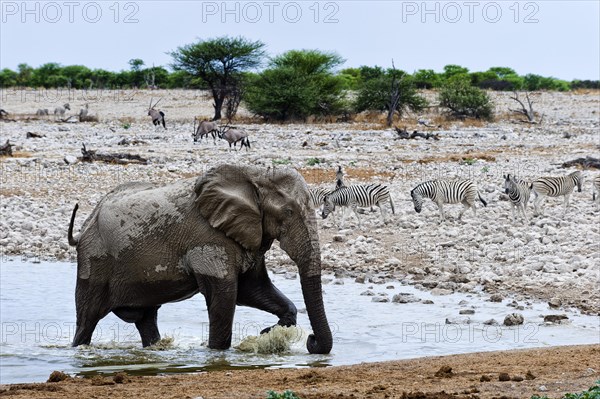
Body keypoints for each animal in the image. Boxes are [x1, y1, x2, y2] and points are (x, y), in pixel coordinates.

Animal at [68, 164, 336, 354]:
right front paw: (218, 352)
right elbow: (226, 295)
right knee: (87, 320)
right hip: (94, 258)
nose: (311, 340)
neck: (255, 175)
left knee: (146, 320)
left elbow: (253, 289)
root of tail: (83, 228)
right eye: (288, 212)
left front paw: (266, 333)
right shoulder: (209, 237)